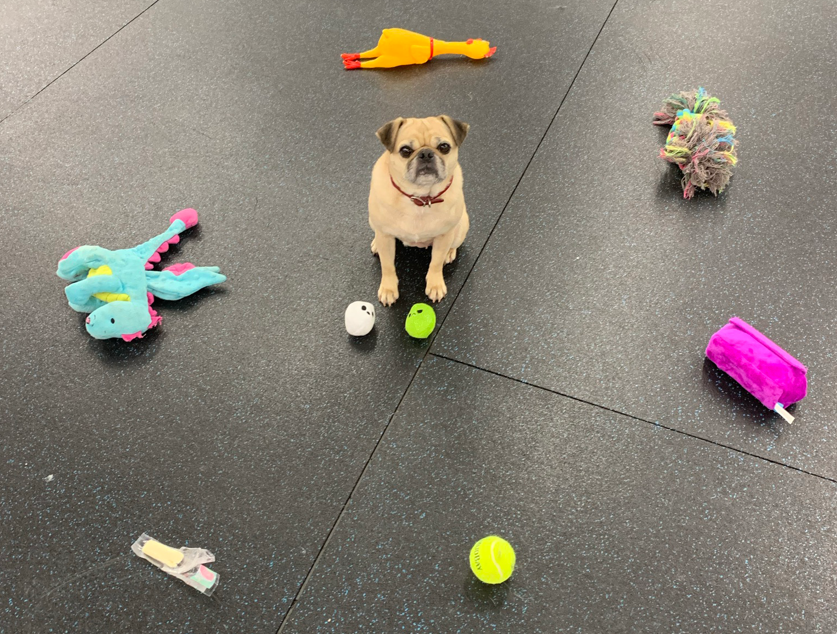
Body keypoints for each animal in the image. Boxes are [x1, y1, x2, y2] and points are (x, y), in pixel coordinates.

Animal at [368, 115, 470, 306]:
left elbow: (435, 263)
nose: (426, 154)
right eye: (405, 151)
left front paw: (435, 284)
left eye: (444, 147)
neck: (421, 199)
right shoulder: (385, 235)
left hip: (460, 229)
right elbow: (387, 266)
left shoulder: (444, 236)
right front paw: (388, 288)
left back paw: (449, 253)